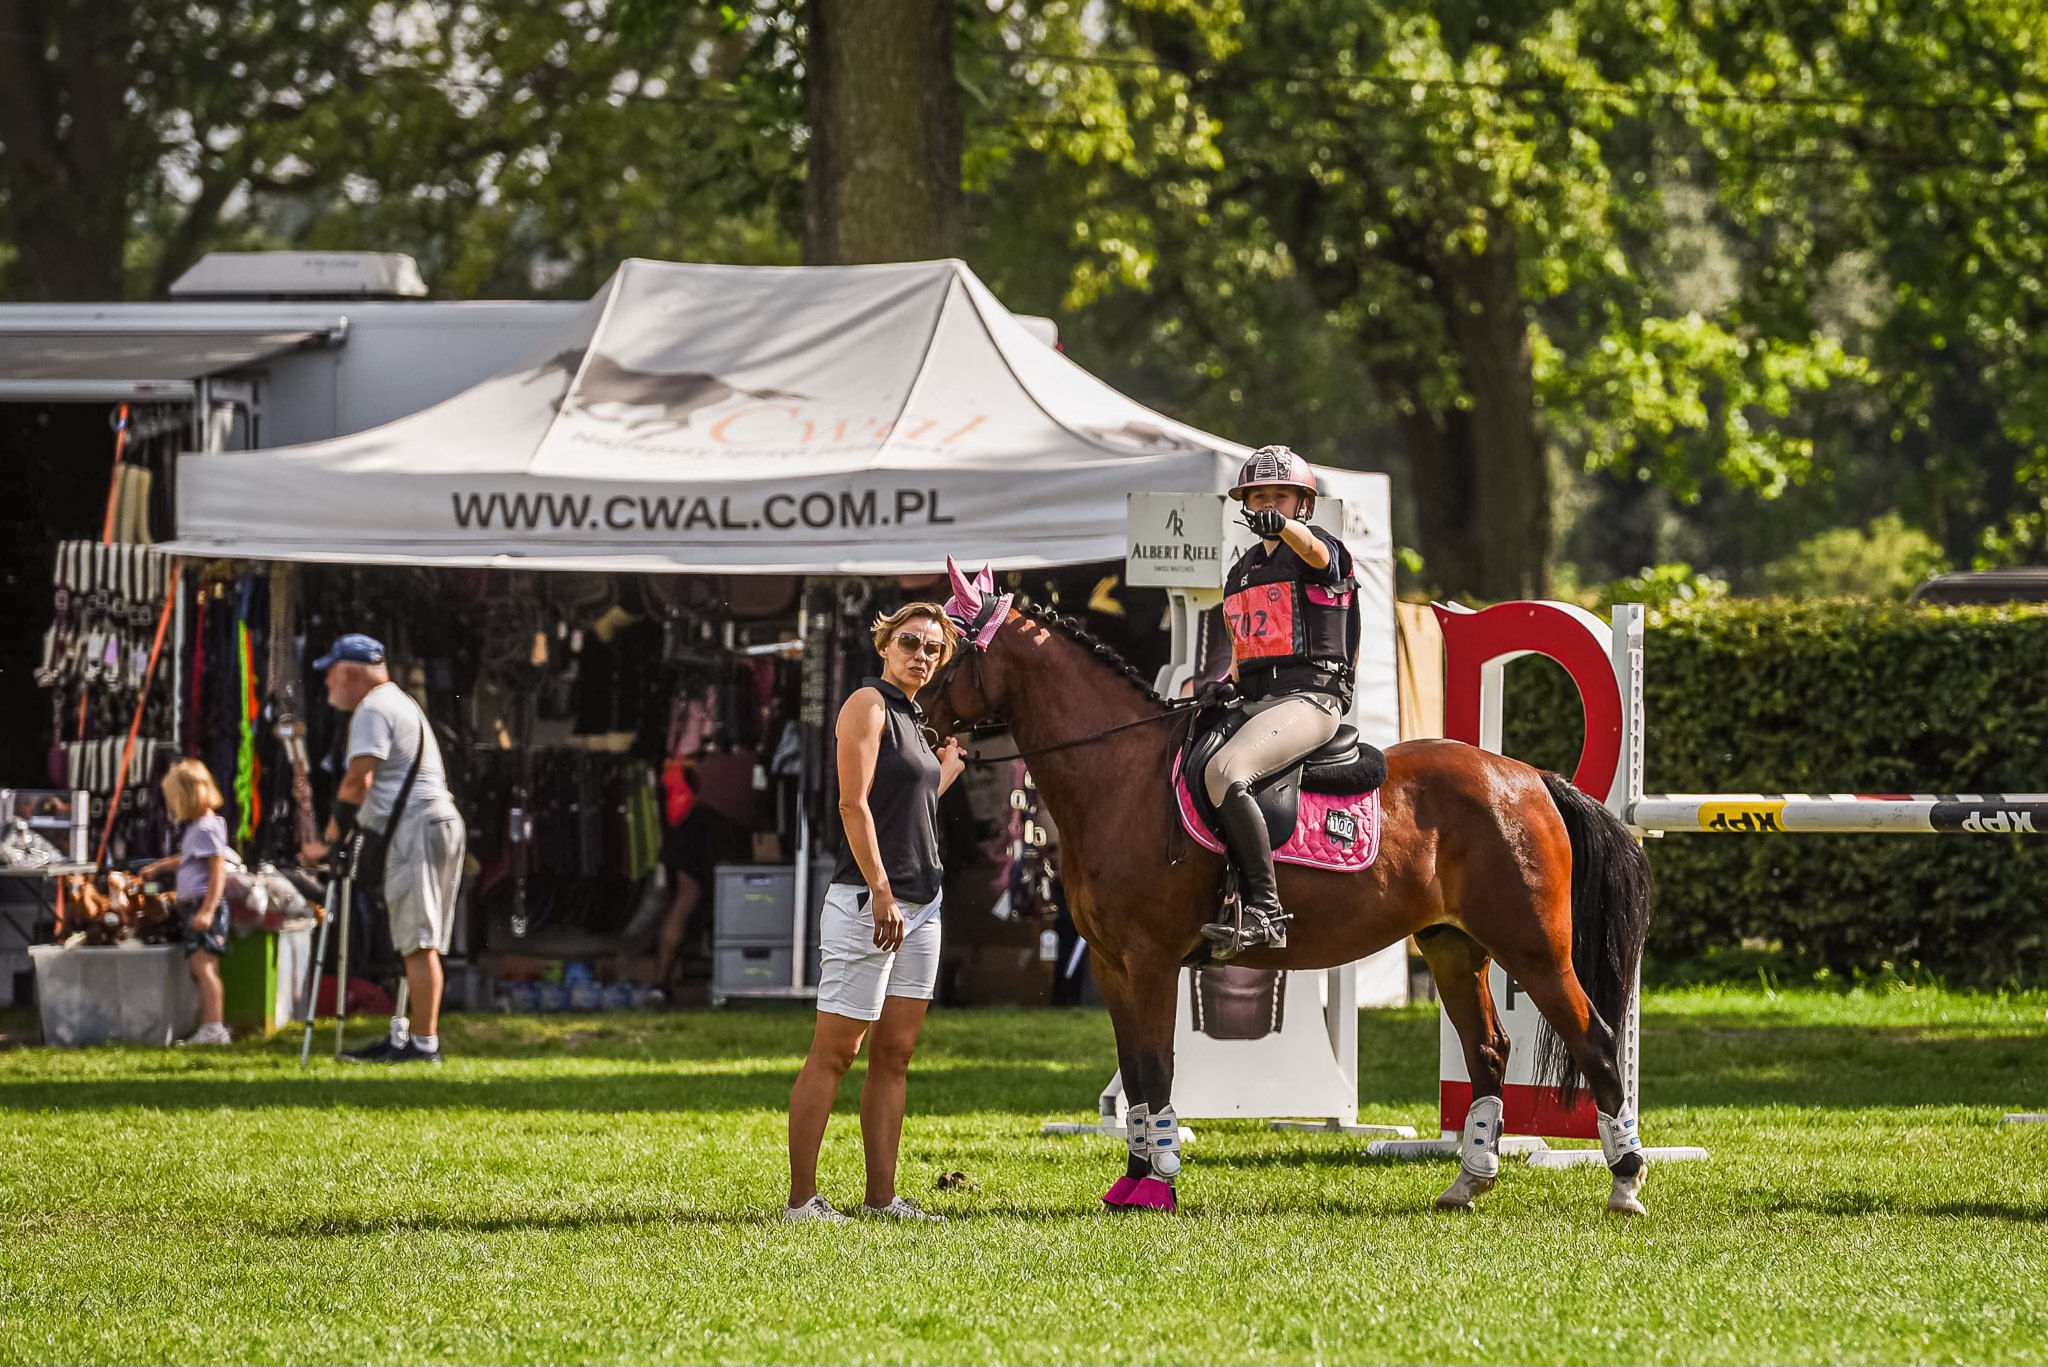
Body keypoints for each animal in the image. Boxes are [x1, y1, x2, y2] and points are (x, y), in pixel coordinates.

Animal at [925, 562, 1655, 1214]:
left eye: (946, 648)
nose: (921, 718)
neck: (1119, 772)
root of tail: (1530, 778)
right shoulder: (1111, 965)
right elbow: (1135, 1073)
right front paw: (1131, 1181)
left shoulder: (1151, 960)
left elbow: (1157, 1069)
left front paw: (1157, 1184)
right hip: (1454, 947)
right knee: (1487, 1052)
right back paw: (1466, 1184)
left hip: (1534, 949)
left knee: (1596, 1042)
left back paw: (1625, 1183)